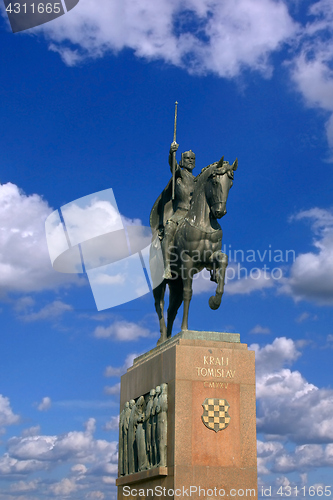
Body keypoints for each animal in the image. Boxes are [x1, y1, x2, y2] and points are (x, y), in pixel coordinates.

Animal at [149, 156, 237, 344]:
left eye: (230, 184)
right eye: (215, 182)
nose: (220, 212)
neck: (202, 223)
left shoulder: (209, 258)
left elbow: (223, 260)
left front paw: (215, 301)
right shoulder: (188, 261)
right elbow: (189, 293)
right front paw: (185, 329)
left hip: (175, 283)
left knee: (171, 309)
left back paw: (169, 337)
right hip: (159, 282)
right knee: (159, 305)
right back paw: (162, 339)